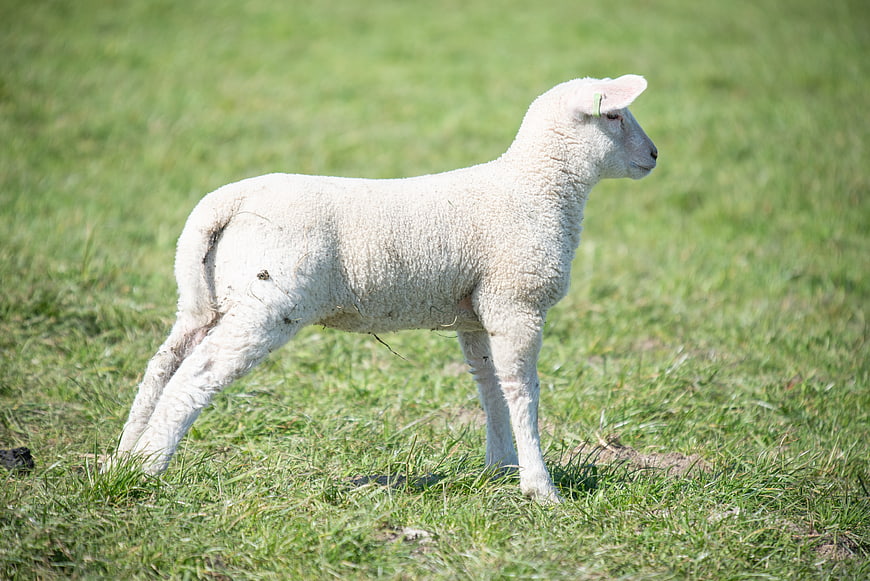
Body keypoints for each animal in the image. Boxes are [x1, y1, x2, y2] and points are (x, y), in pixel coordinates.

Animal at [110, 74, 658, 502]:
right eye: (614, 117)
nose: (654, 155)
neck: (537, 186)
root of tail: (227, 200)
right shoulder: (515, 300)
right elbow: (523, 390)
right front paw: (539, 487)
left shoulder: (476, 311)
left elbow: (490, 387)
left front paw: (501, 467)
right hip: (266, 303)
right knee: (193, 377)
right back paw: (152, 466)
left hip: (202, 298)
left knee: (162, 366)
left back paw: (124, 460)